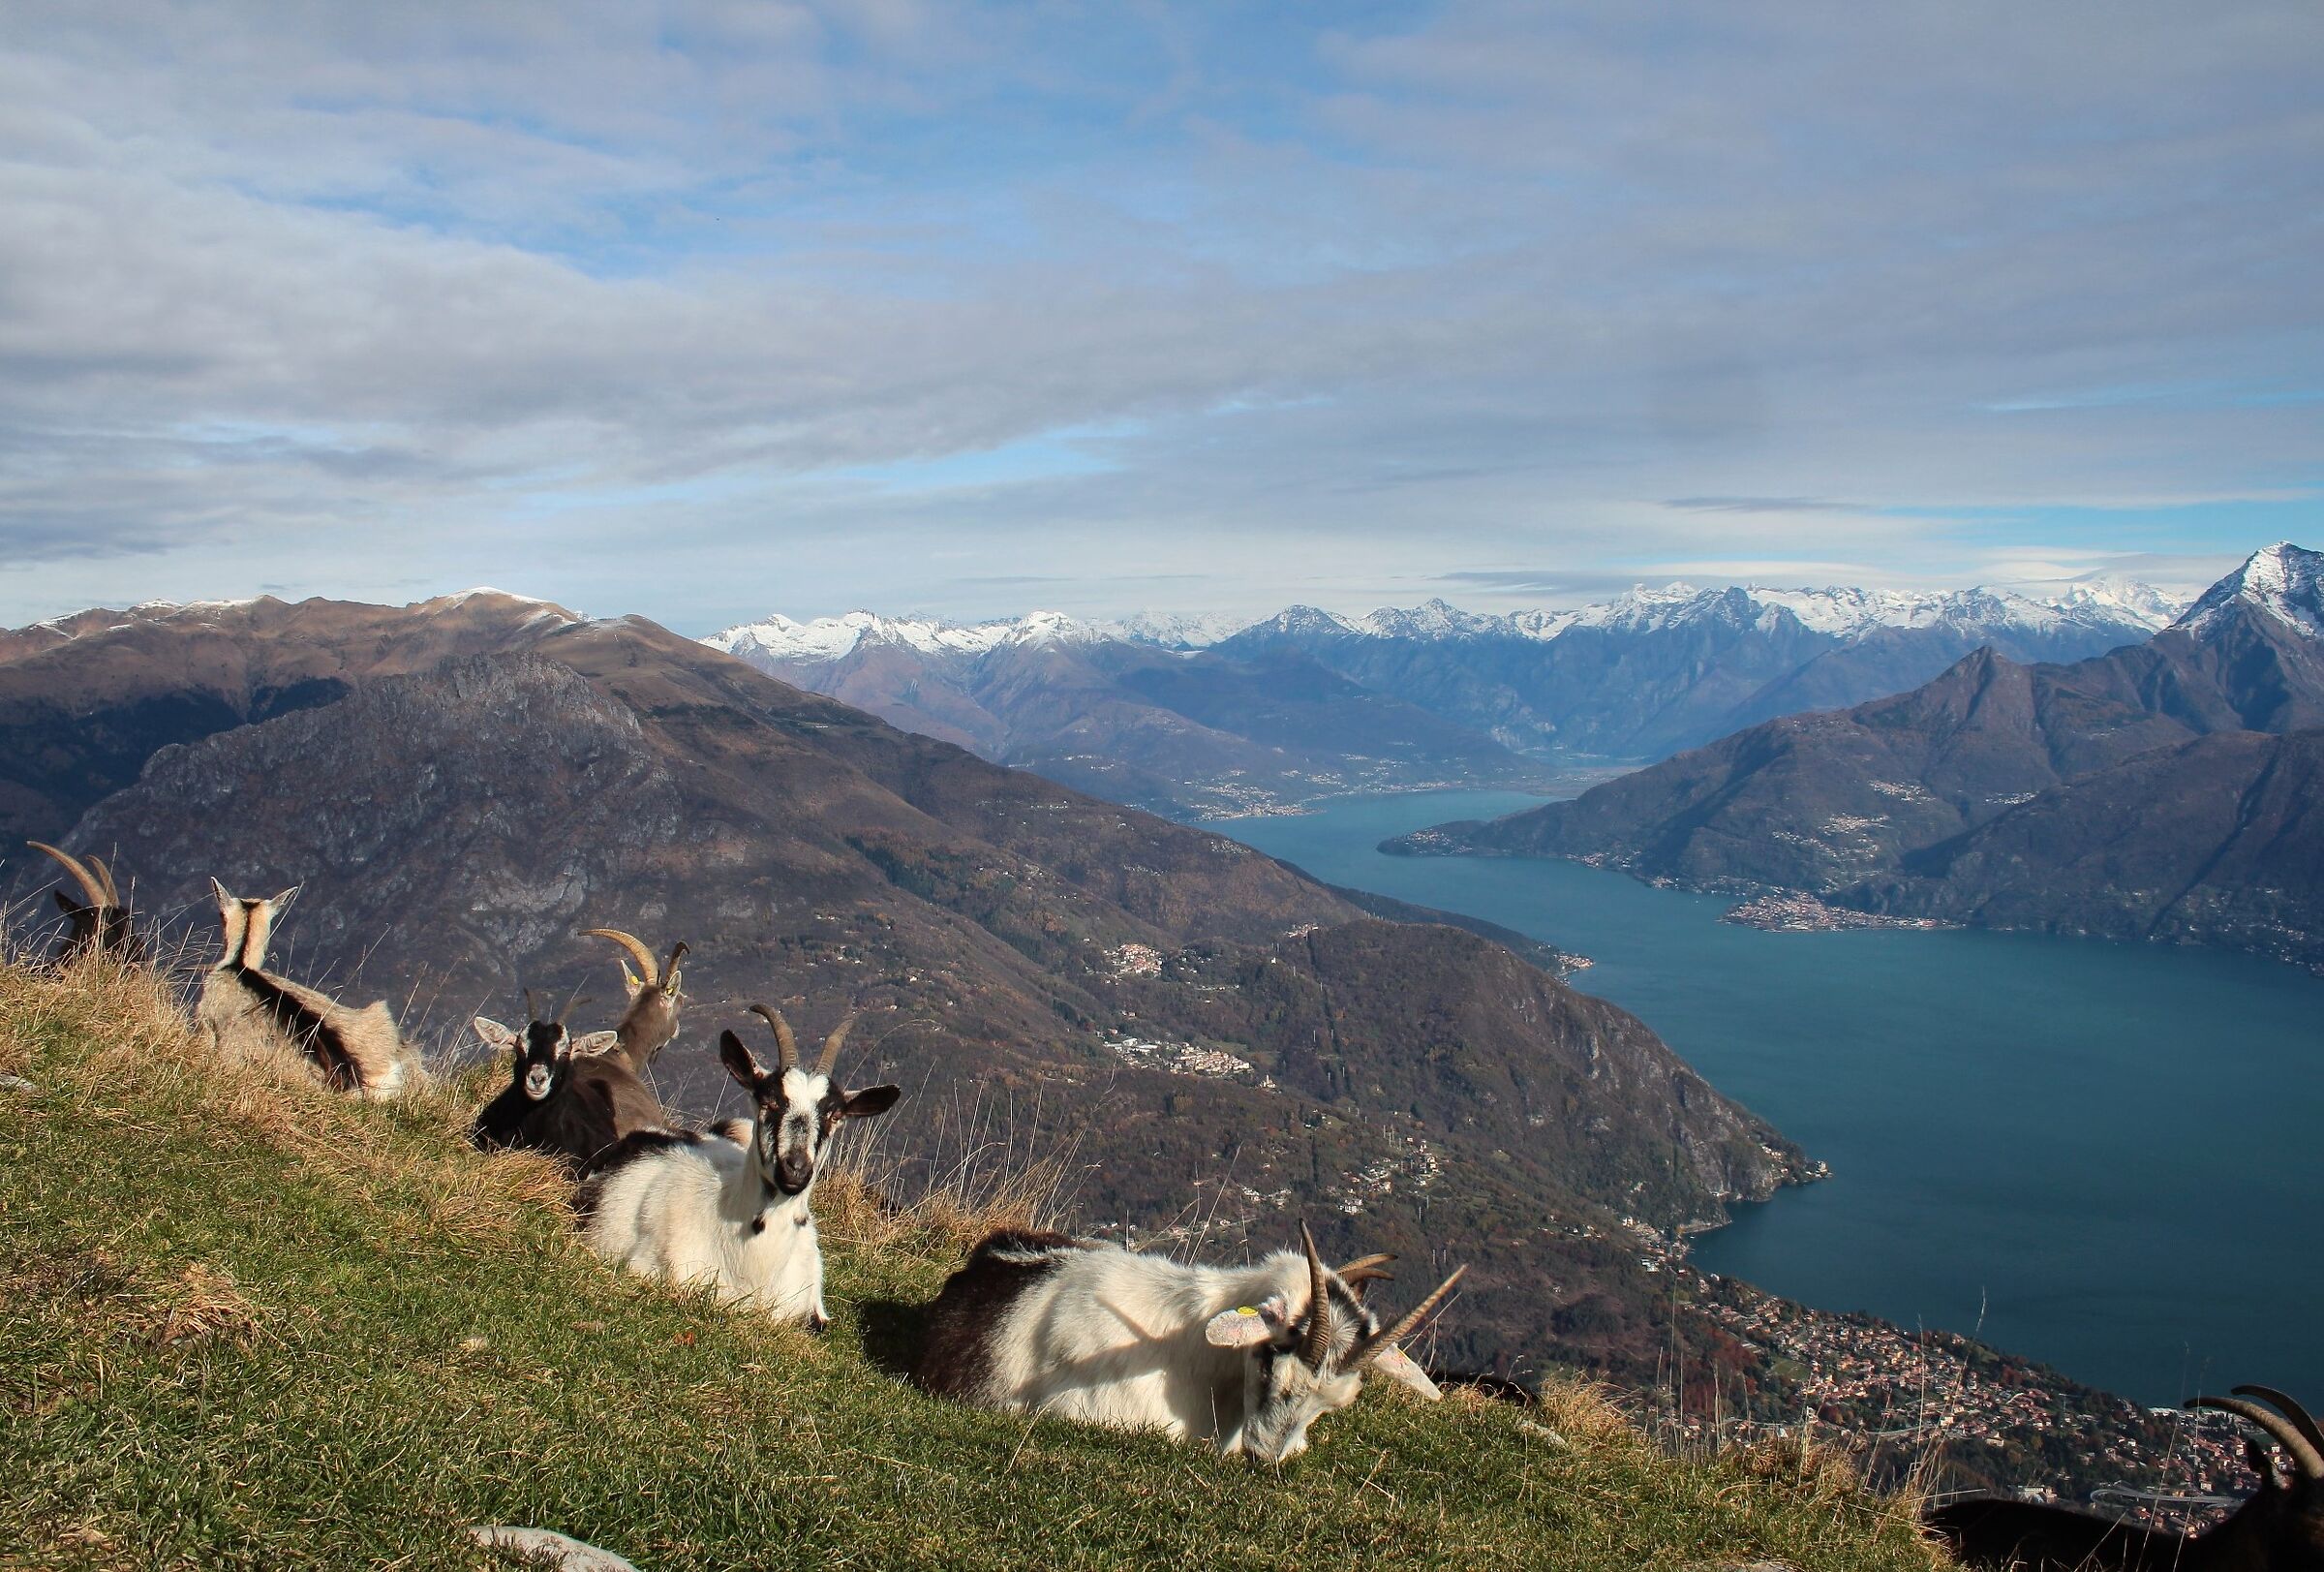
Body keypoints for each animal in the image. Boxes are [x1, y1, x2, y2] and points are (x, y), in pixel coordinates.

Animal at [578, 1005, 899, 1328]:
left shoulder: (814, 1306)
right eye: (768, 1101)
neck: (755, 1271)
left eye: (835, 1116)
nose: (795, 1169)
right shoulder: (646, 1268)